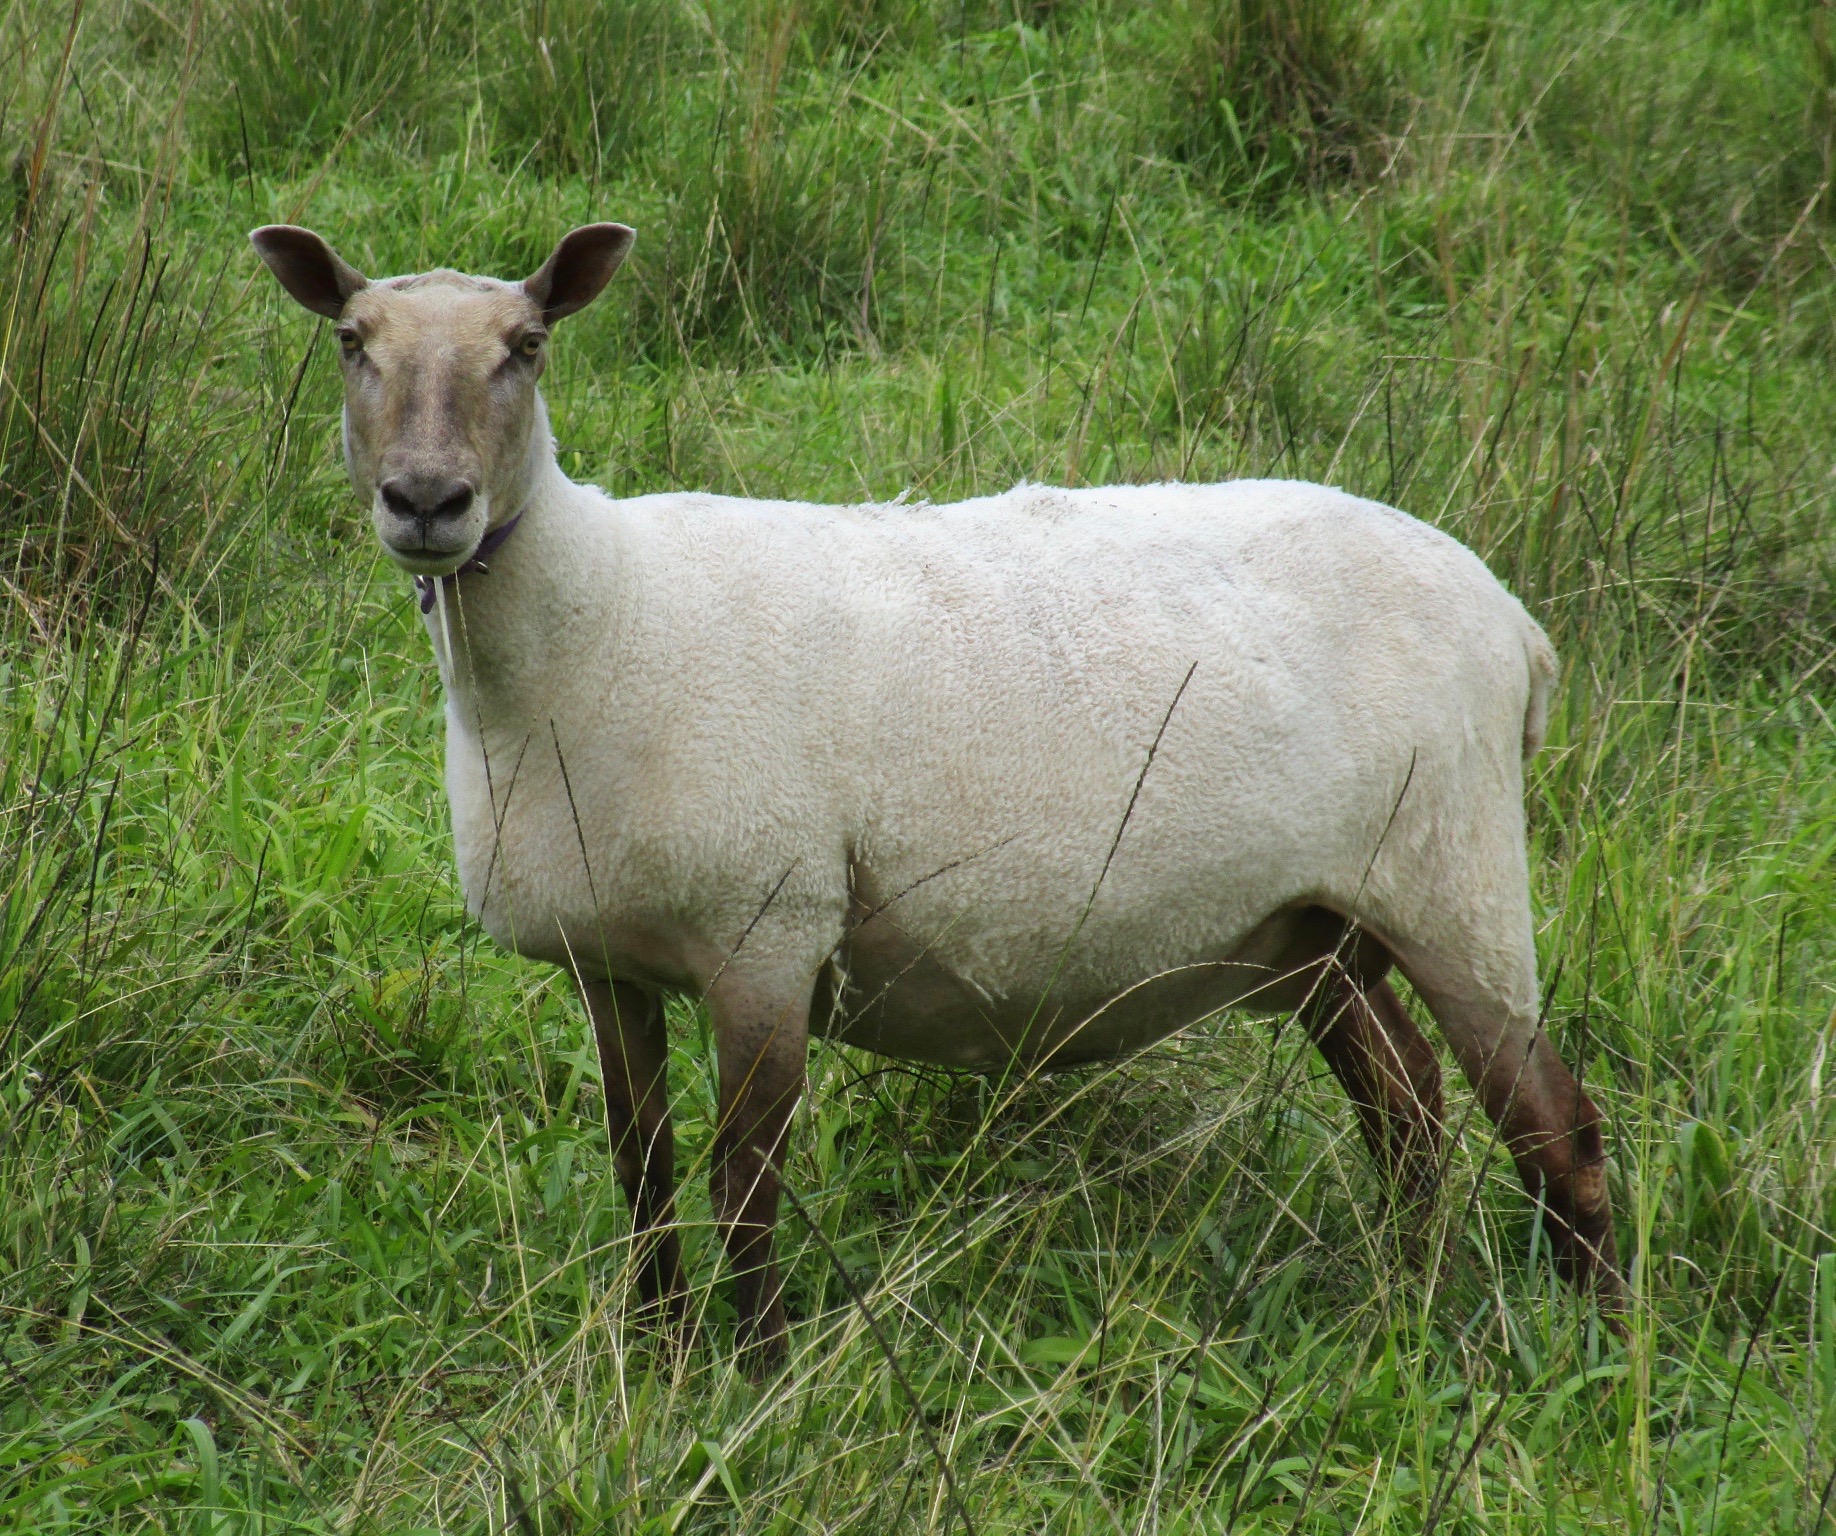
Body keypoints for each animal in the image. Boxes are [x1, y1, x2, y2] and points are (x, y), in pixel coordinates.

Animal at [247, 218, 1623, 1365]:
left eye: (525, 348)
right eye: (351, 343)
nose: (428, 502)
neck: (594, 618)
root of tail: (1516, 625)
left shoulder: (768, 931)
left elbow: (745, 1186)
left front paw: (755, 1373)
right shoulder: (609, 961)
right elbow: (642, 1168)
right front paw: (656, 1350)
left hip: (1454, 873)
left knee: (1554, 1125)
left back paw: (1594, 1341)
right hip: (1316, 923)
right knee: (1409, 1109)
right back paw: (1408, 1290)